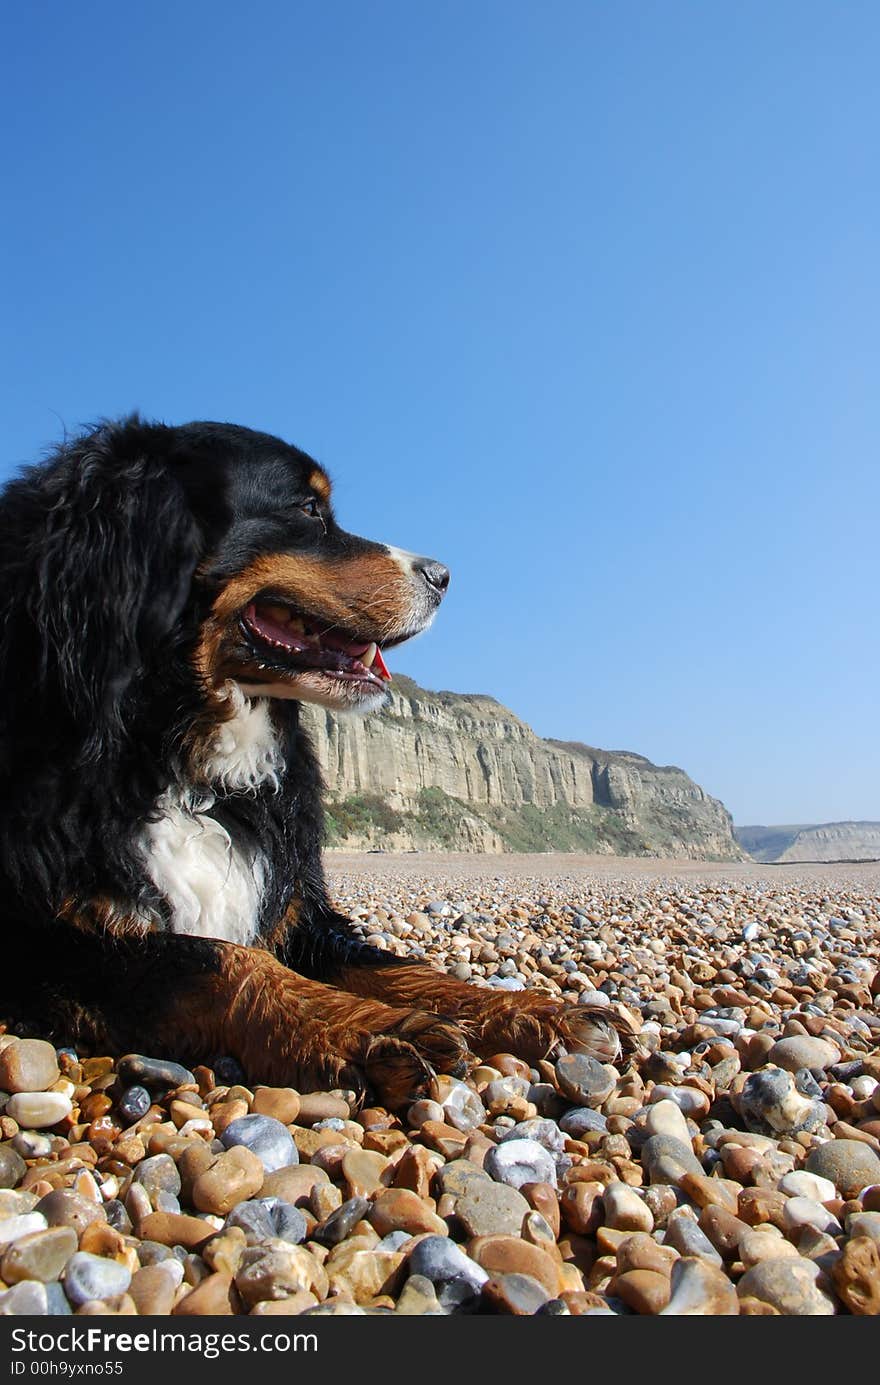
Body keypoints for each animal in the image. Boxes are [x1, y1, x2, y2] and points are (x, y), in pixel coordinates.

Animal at [0, 415, 634, 1108]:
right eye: (307, 510)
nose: (444, 575)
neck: (188, 766)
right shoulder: (52, 935)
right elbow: (221, 961)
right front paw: (367, 1028)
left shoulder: (301, 911)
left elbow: (401, 967)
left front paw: (535, 1010)